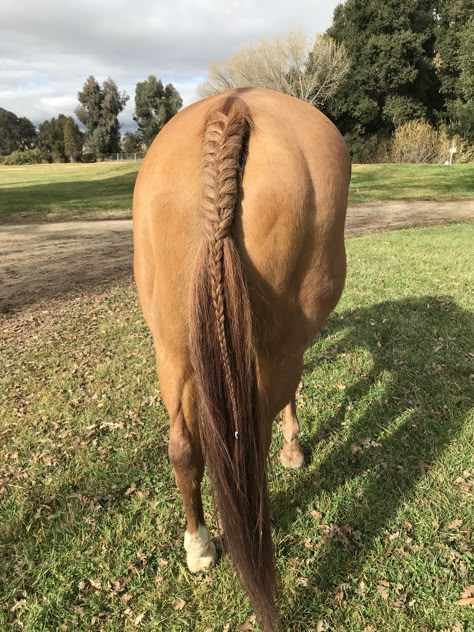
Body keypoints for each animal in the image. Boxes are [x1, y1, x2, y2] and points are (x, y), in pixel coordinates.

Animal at [131, 86, 350, 628]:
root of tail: (232, 107)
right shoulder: (288, 345)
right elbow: (290, 397)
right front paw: (295, 450)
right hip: (273, 344)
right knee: (251, 441)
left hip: (170, 346)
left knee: (182, 446)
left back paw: (200, 545)